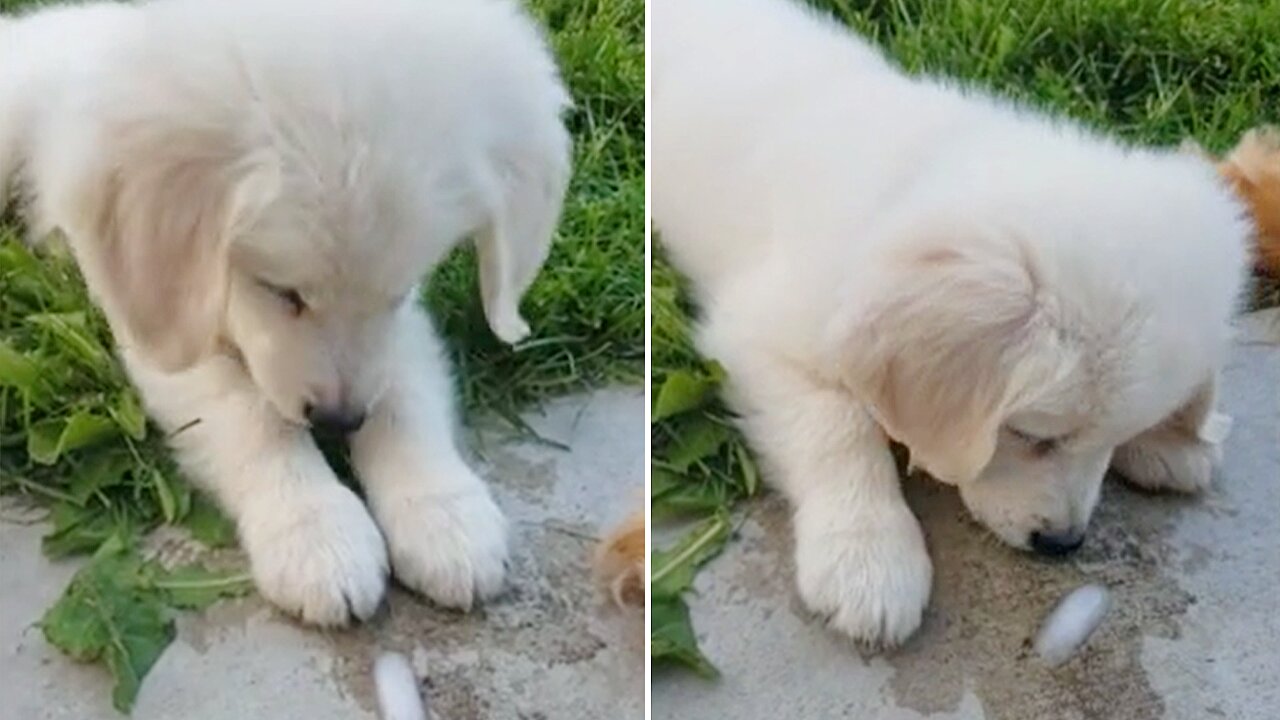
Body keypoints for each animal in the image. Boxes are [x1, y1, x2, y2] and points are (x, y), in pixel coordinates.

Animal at [0, 0, 570, 622]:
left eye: (397, 293)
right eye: (281, 291)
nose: (338, 421)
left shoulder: (400, 330)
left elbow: (403, 393)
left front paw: (444, 514)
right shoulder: (161, 322)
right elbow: (249, 415)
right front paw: (317, 535)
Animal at [655, 0, 1244, 645]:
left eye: (1116, 437)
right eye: (1030, 435)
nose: (1062, 544)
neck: (908, 183)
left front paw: (1174, 439)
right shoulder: (757, 333)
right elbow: (837, 424)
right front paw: (869, 559)